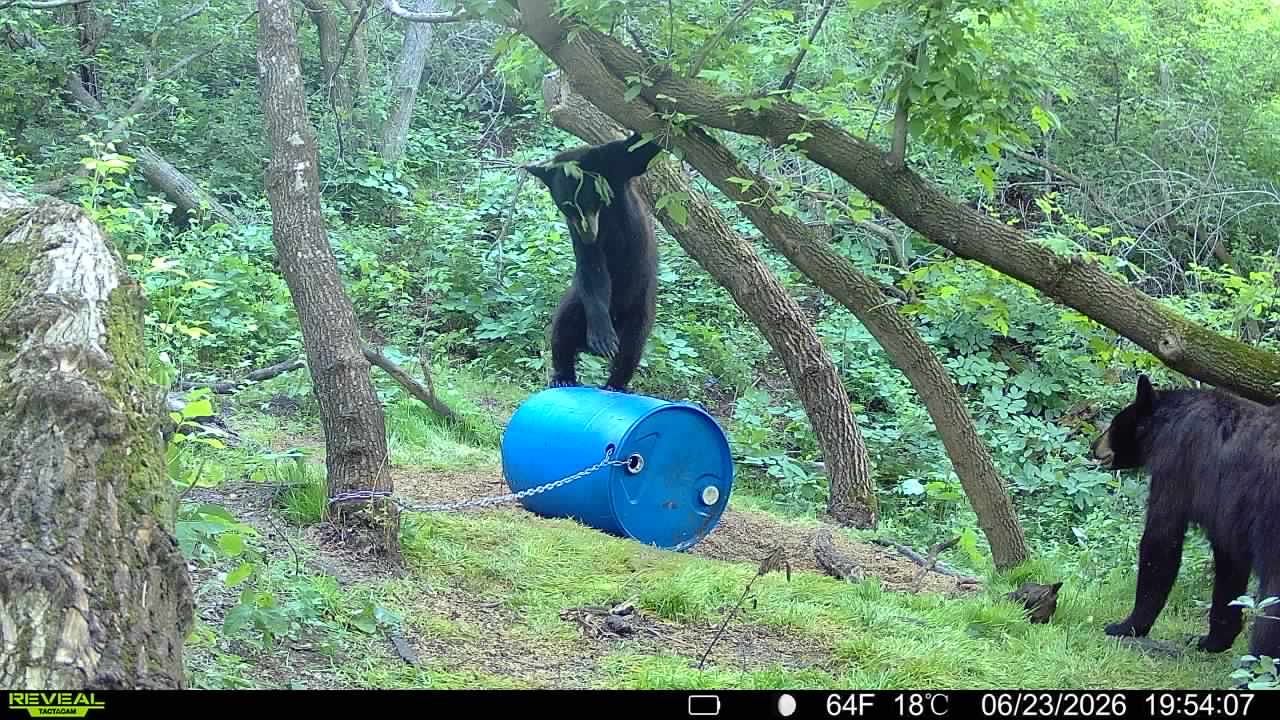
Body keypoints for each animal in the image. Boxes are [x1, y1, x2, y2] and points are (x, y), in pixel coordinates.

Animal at [524, 131, 663, 393]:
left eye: (586, 201)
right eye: (566, 208)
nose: (589, 235)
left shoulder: (616, 164)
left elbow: (642, 149)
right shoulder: (579, 236)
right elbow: (592, 268)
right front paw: (603, 337)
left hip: (640, 306)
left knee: (632, 345)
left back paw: (615, 384)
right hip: (577, 300)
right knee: (562, 329)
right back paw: (563, 375)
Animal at [1090, 373, 1280, 660]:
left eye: (1113, 424)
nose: (1092, 447)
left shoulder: (1178, 464)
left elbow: (1161, 541)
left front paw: (1126, 625)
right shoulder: (1228, 511)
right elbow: (1230, 563)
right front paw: (1214, 640)